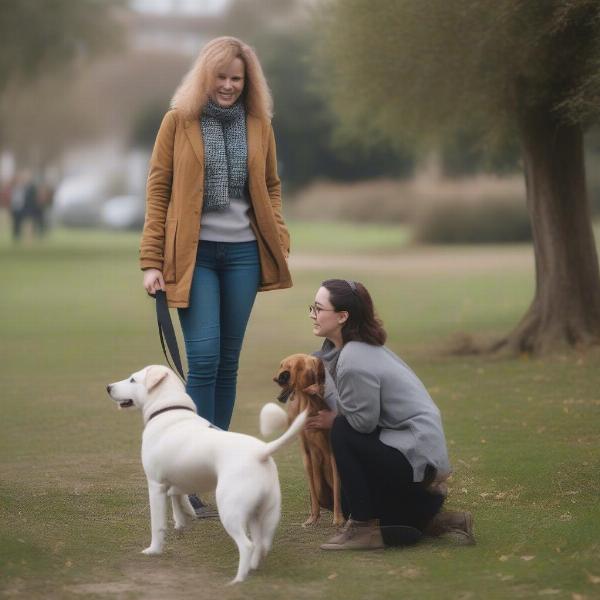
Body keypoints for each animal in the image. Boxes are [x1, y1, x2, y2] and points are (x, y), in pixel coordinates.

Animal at [105, 364, 308, 584]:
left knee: (247, 545)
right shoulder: (178, 480)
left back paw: (238, 580)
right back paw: (253, 567)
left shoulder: (155, 485)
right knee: (261, 543)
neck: (168, 410)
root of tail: (261, 452)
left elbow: (157, 524)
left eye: (133, 379)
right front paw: (182, 520)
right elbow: (178, 498)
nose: (108, 387)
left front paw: (154, 550)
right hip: (263, 513)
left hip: (230, 510)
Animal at [274, 354, 344, 528]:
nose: (279, 377)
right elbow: (312, 491)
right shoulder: (306, 453)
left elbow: (338, 489)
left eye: (290, 366)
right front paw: (313, 518)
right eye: (282, 365)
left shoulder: (333, 451)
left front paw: (338, 519)